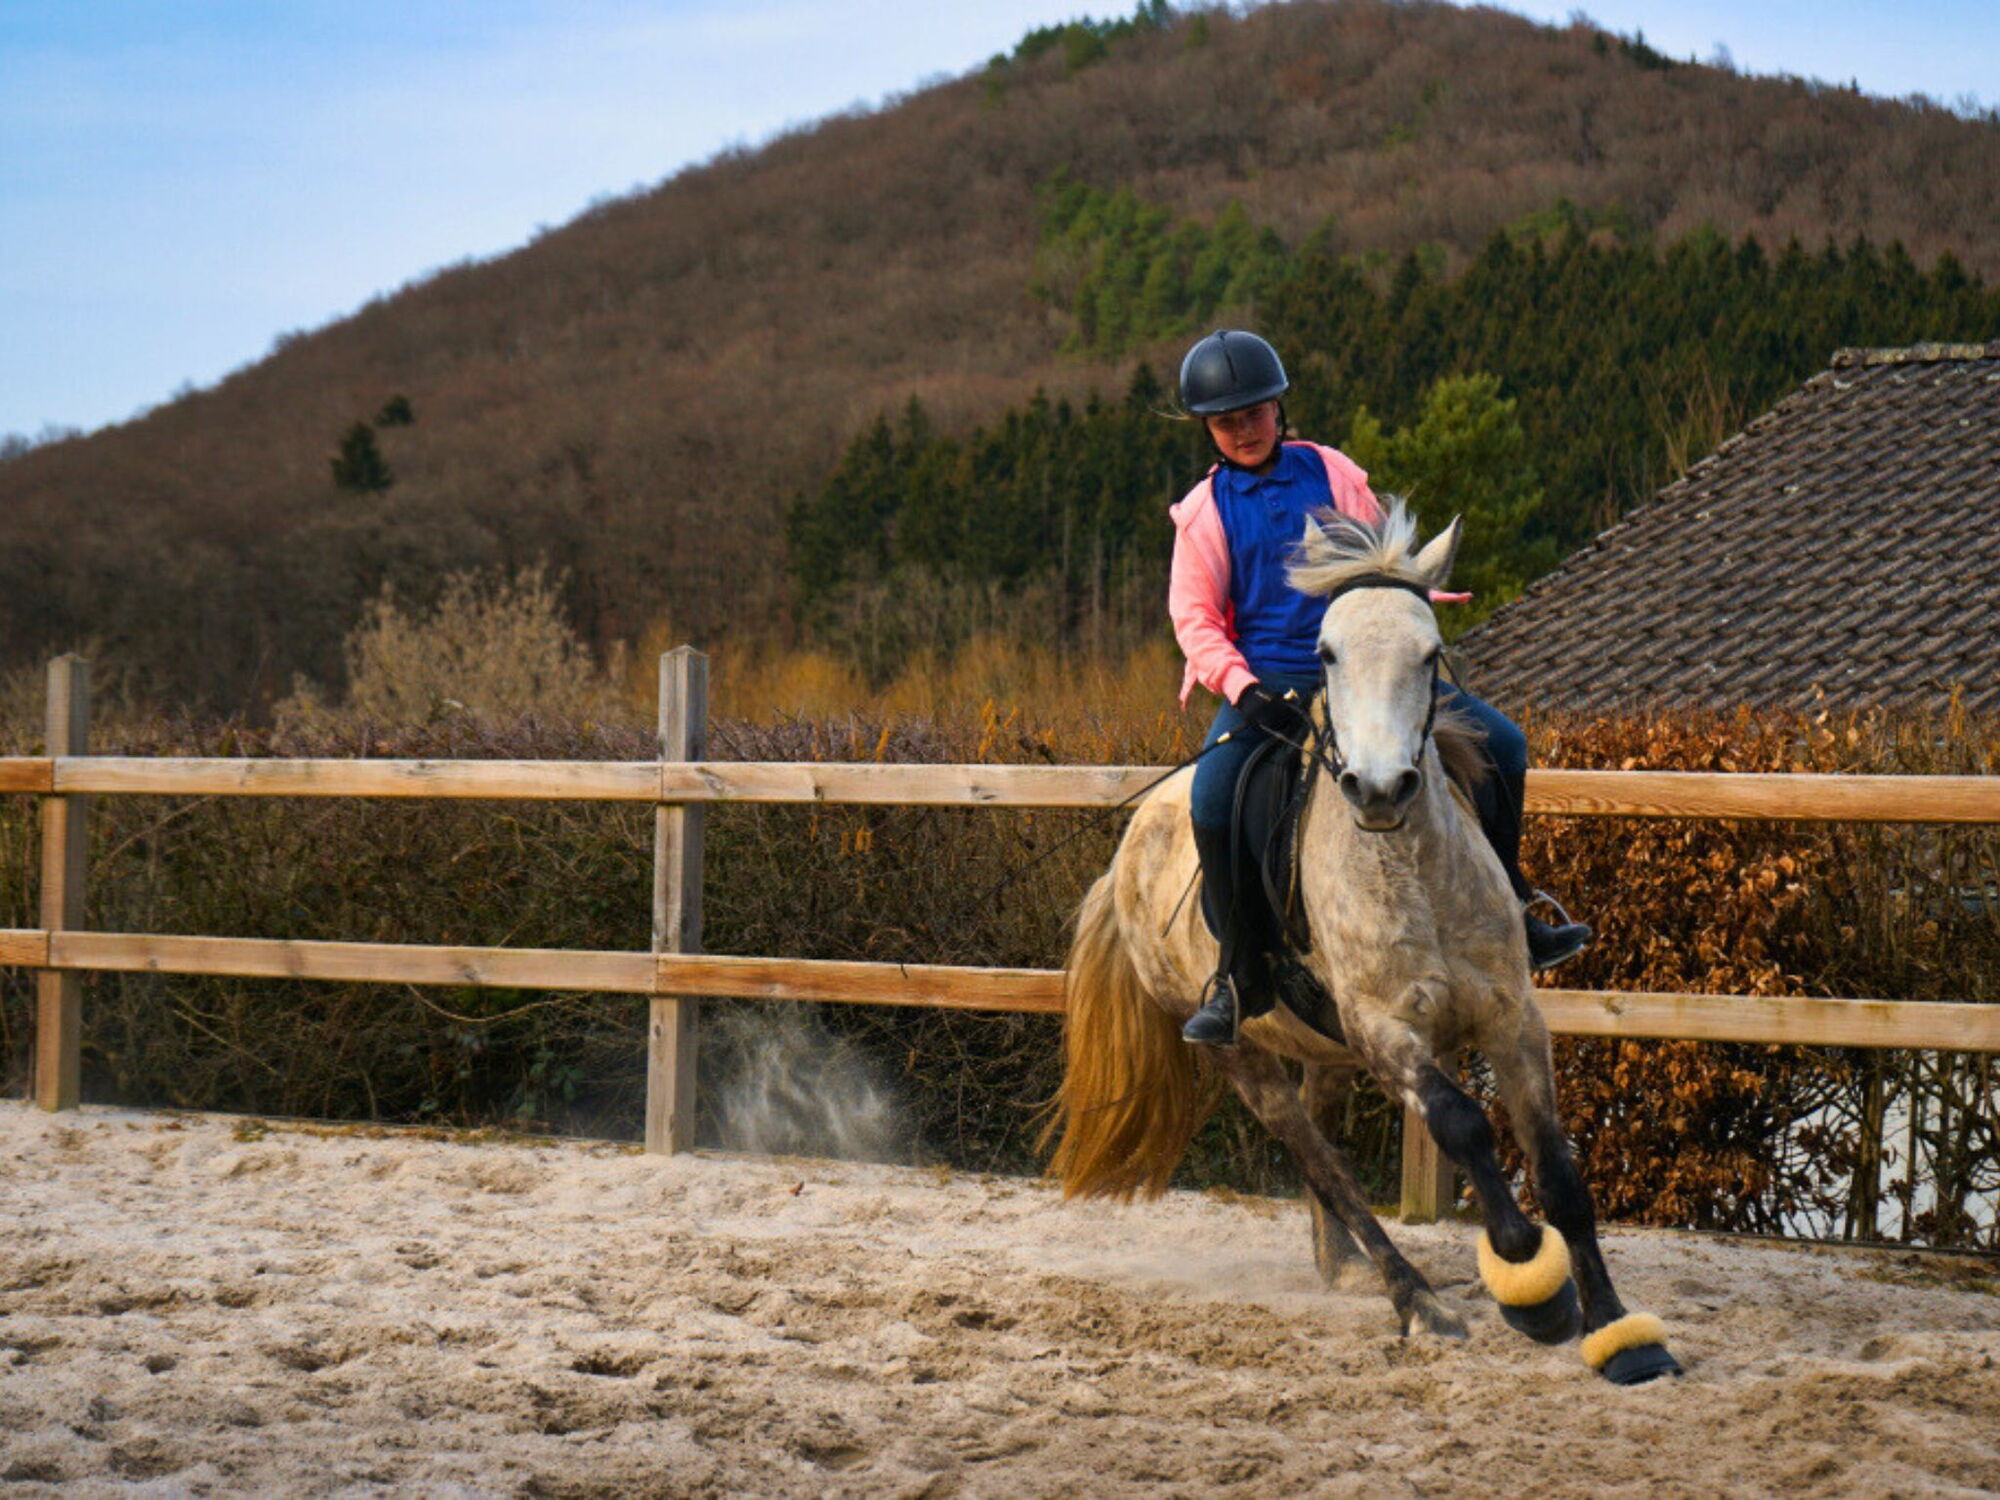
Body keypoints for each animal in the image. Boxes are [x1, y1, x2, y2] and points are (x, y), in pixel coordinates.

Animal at [1045, 502, 1679, 1386]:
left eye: (1431, 652)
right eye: (1326, 652)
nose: (1378, 790)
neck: (1409, 867)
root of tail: (1126, 854)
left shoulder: (1512, 1018)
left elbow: (1557, 1168)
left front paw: (1622, 1335)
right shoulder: (1388, 1031)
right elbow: (1463, 1127)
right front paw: (1531, 1285)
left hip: (1326, 1049)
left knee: (1326, 1148)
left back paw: (1344, 1269)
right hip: (1243, 1055)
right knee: (1320, 1160)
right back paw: (1416, 1299)